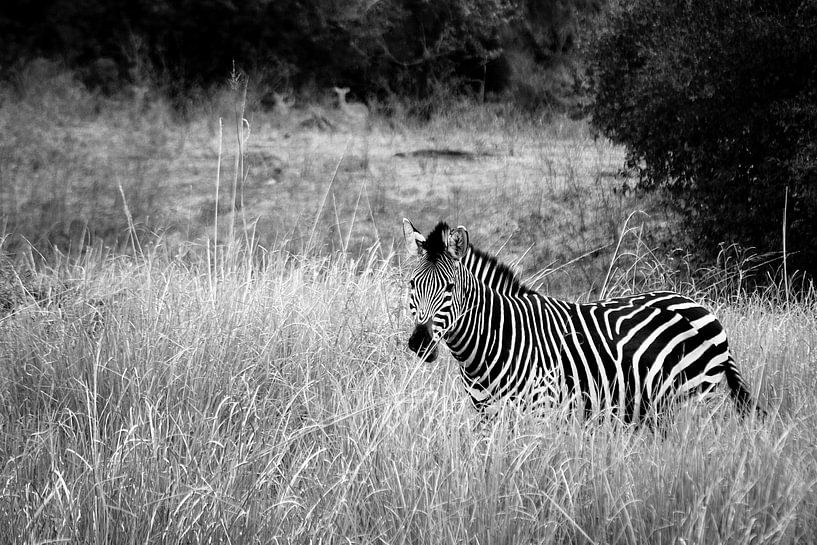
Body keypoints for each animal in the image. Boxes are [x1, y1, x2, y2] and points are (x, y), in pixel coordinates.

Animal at [404, 218, 760, 420]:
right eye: (411, 284)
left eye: (450, 288)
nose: (419, 342)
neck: (495, 339)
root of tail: (702, 308)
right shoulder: (486, 417)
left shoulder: (542, 411)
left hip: (694, 398)